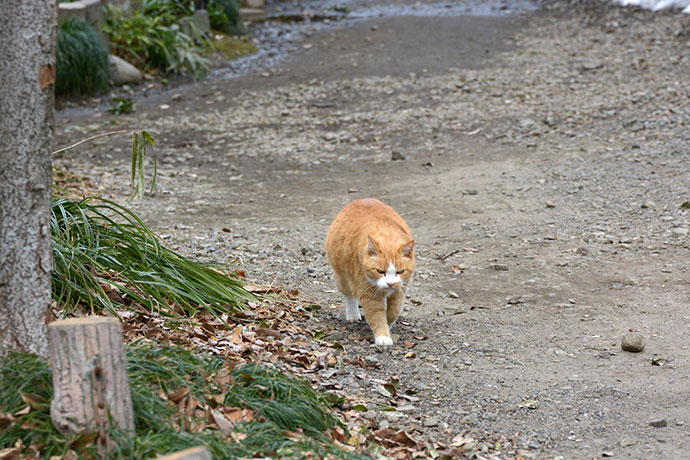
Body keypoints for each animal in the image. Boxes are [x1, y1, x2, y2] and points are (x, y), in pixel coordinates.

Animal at [324, 198, 414, 344]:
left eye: (400, 271)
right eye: (380, 271)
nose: (390, 284)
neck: (387, 235)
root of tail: (360, 200)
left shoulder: (401, 287)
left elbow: (394, 310)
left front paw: (389, 321)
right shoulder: (368, 292)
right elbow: (377, 315)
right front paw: (383, 335)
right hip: (341, 277)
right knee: (349, 296)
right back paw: (353, 314)